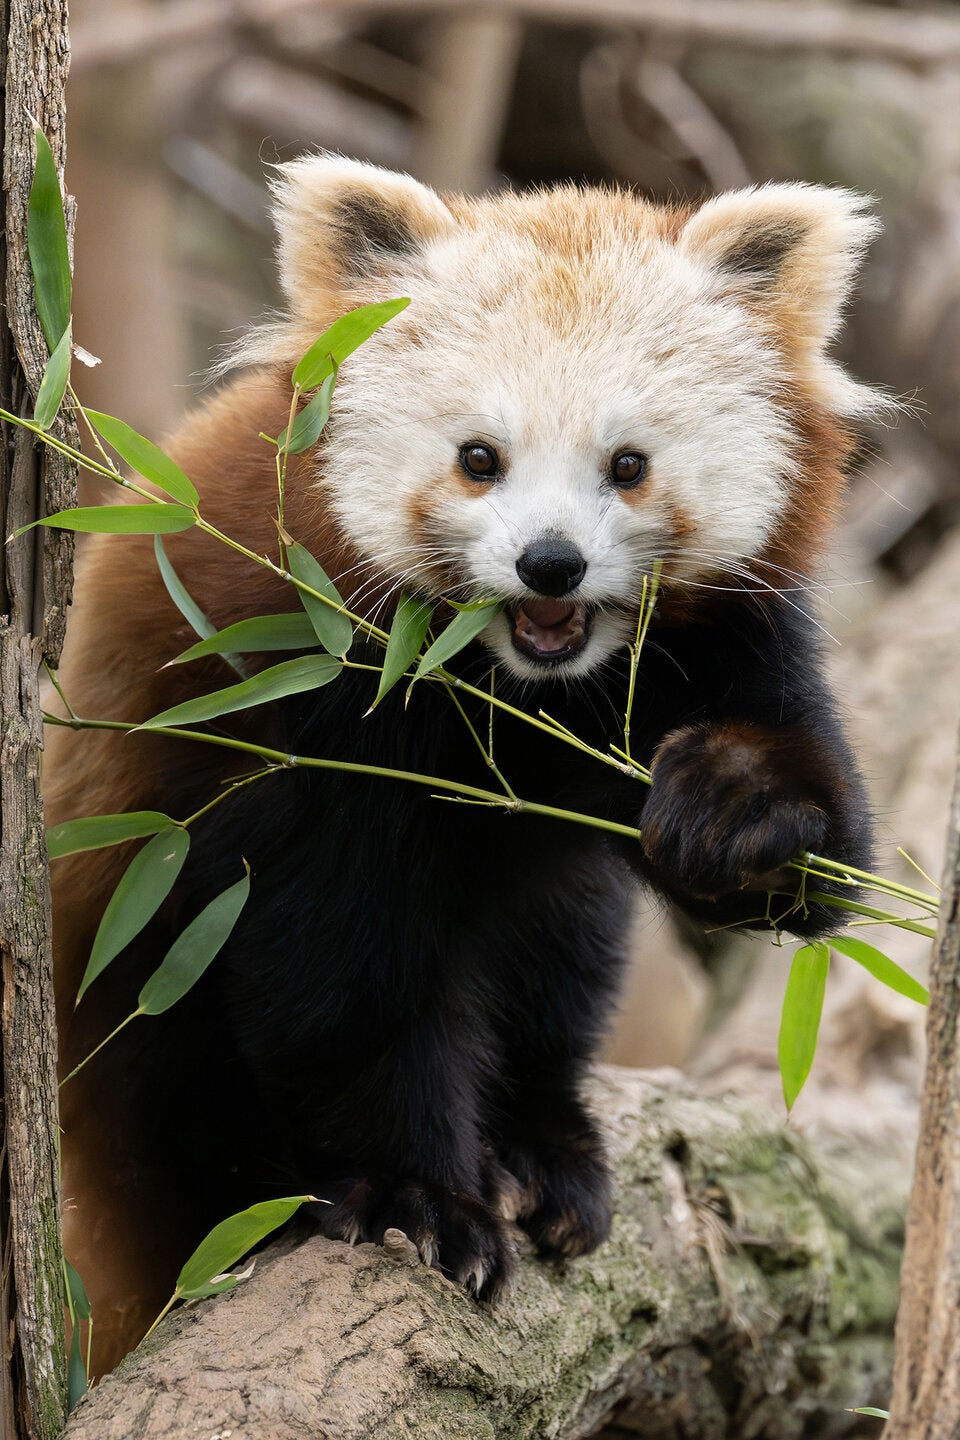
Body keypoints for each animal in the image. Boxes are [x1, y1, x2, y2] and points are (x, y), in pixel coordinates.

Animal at [48, 159, 882, 1374]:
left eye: (629, 466)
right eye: (479, 459)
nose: (550, 563)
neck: (518, 690)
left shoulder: (731, 636)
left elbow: (826, 856)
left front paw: (735, 811)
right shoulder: (303, 694)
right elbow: (340, 967)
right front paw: (418, 1198)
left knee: (560, 946)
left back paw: (543, 1143)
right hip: (126, 985)